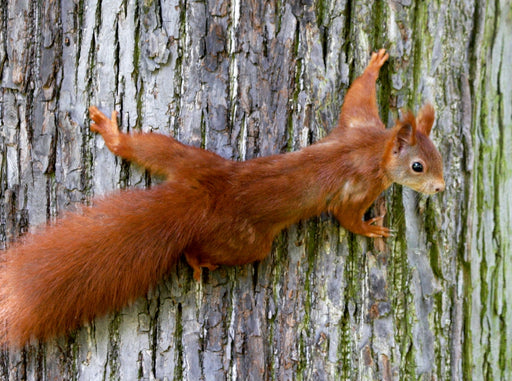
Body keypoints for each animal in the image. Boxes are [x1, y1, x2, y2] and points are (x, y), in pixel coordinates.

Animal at [0, 47, 444, 344]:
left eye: (440, 156)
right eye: (418, 167)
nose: (440, 187)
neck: (375, 149)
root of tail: (202, 198)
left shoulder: (358, 123)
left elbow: (355, 96)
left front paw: (372, 65)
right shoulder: (359, 183)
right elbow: (347, 217)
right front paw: (372, 229)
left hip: (187, 160)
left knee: (148, 147)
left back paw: (115, 136)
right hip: (246, 241)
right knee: (214, 249)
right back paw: (198, 260)